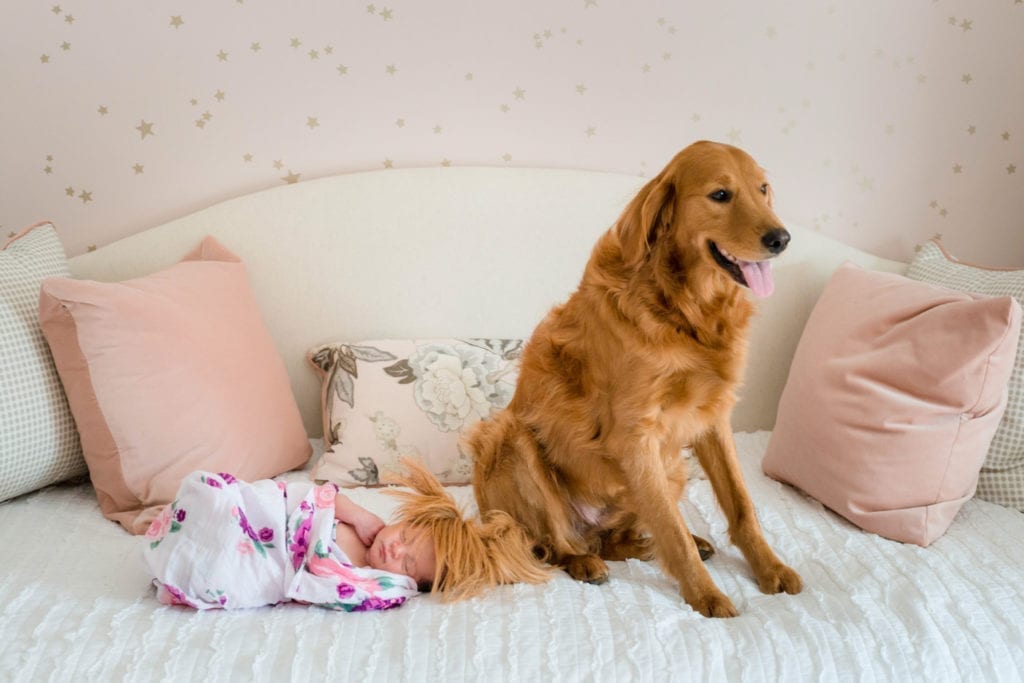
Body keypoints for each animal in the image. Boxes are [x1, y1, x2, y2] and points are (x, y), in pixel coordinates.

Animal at [468, 141, 802, 618]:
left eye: (763, 189)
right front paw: (707, 596)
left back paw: (653, 545)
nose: (781, 239)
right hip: (510, 440)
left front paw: (770, 568)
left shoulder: (713, 420)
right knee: (555, 545)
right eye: (720, 194)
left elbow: (740, 505)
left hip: (671, 467)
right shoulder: (635, 435)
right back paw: (584, 561)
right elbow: (672, 531)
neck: (686, 311)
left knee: (616, 540)